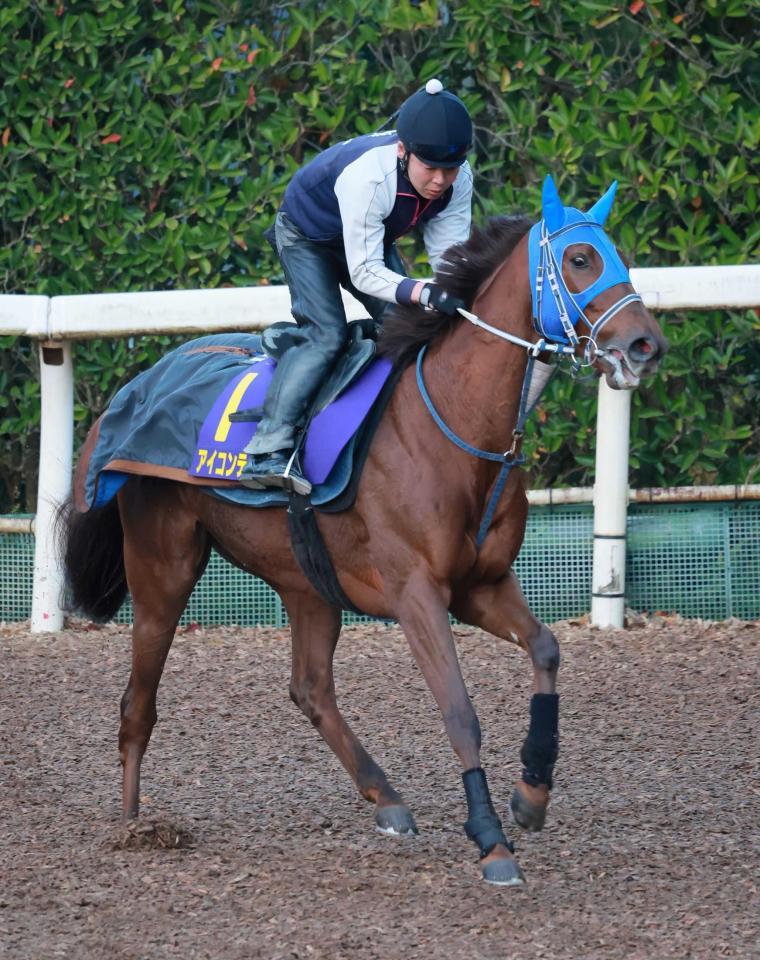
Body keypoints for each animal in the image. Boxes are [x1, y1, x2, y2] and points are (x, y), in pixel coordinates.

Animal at [58, 174, 664, 884]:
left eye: (617, 253)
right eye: (580, 259)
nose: (646, 345)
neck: (452, 421)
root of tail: (136, 386)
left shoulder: (481, 585)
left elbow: (545, 649)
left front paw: (531, 795)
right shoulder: (416, 592)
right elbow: (458, 710)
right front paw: (491, 840)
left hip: (305, 580)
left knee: (310, 688)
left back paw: (388, 799)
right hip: (164, 566)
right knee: (138, 703)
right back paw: (134, 827)